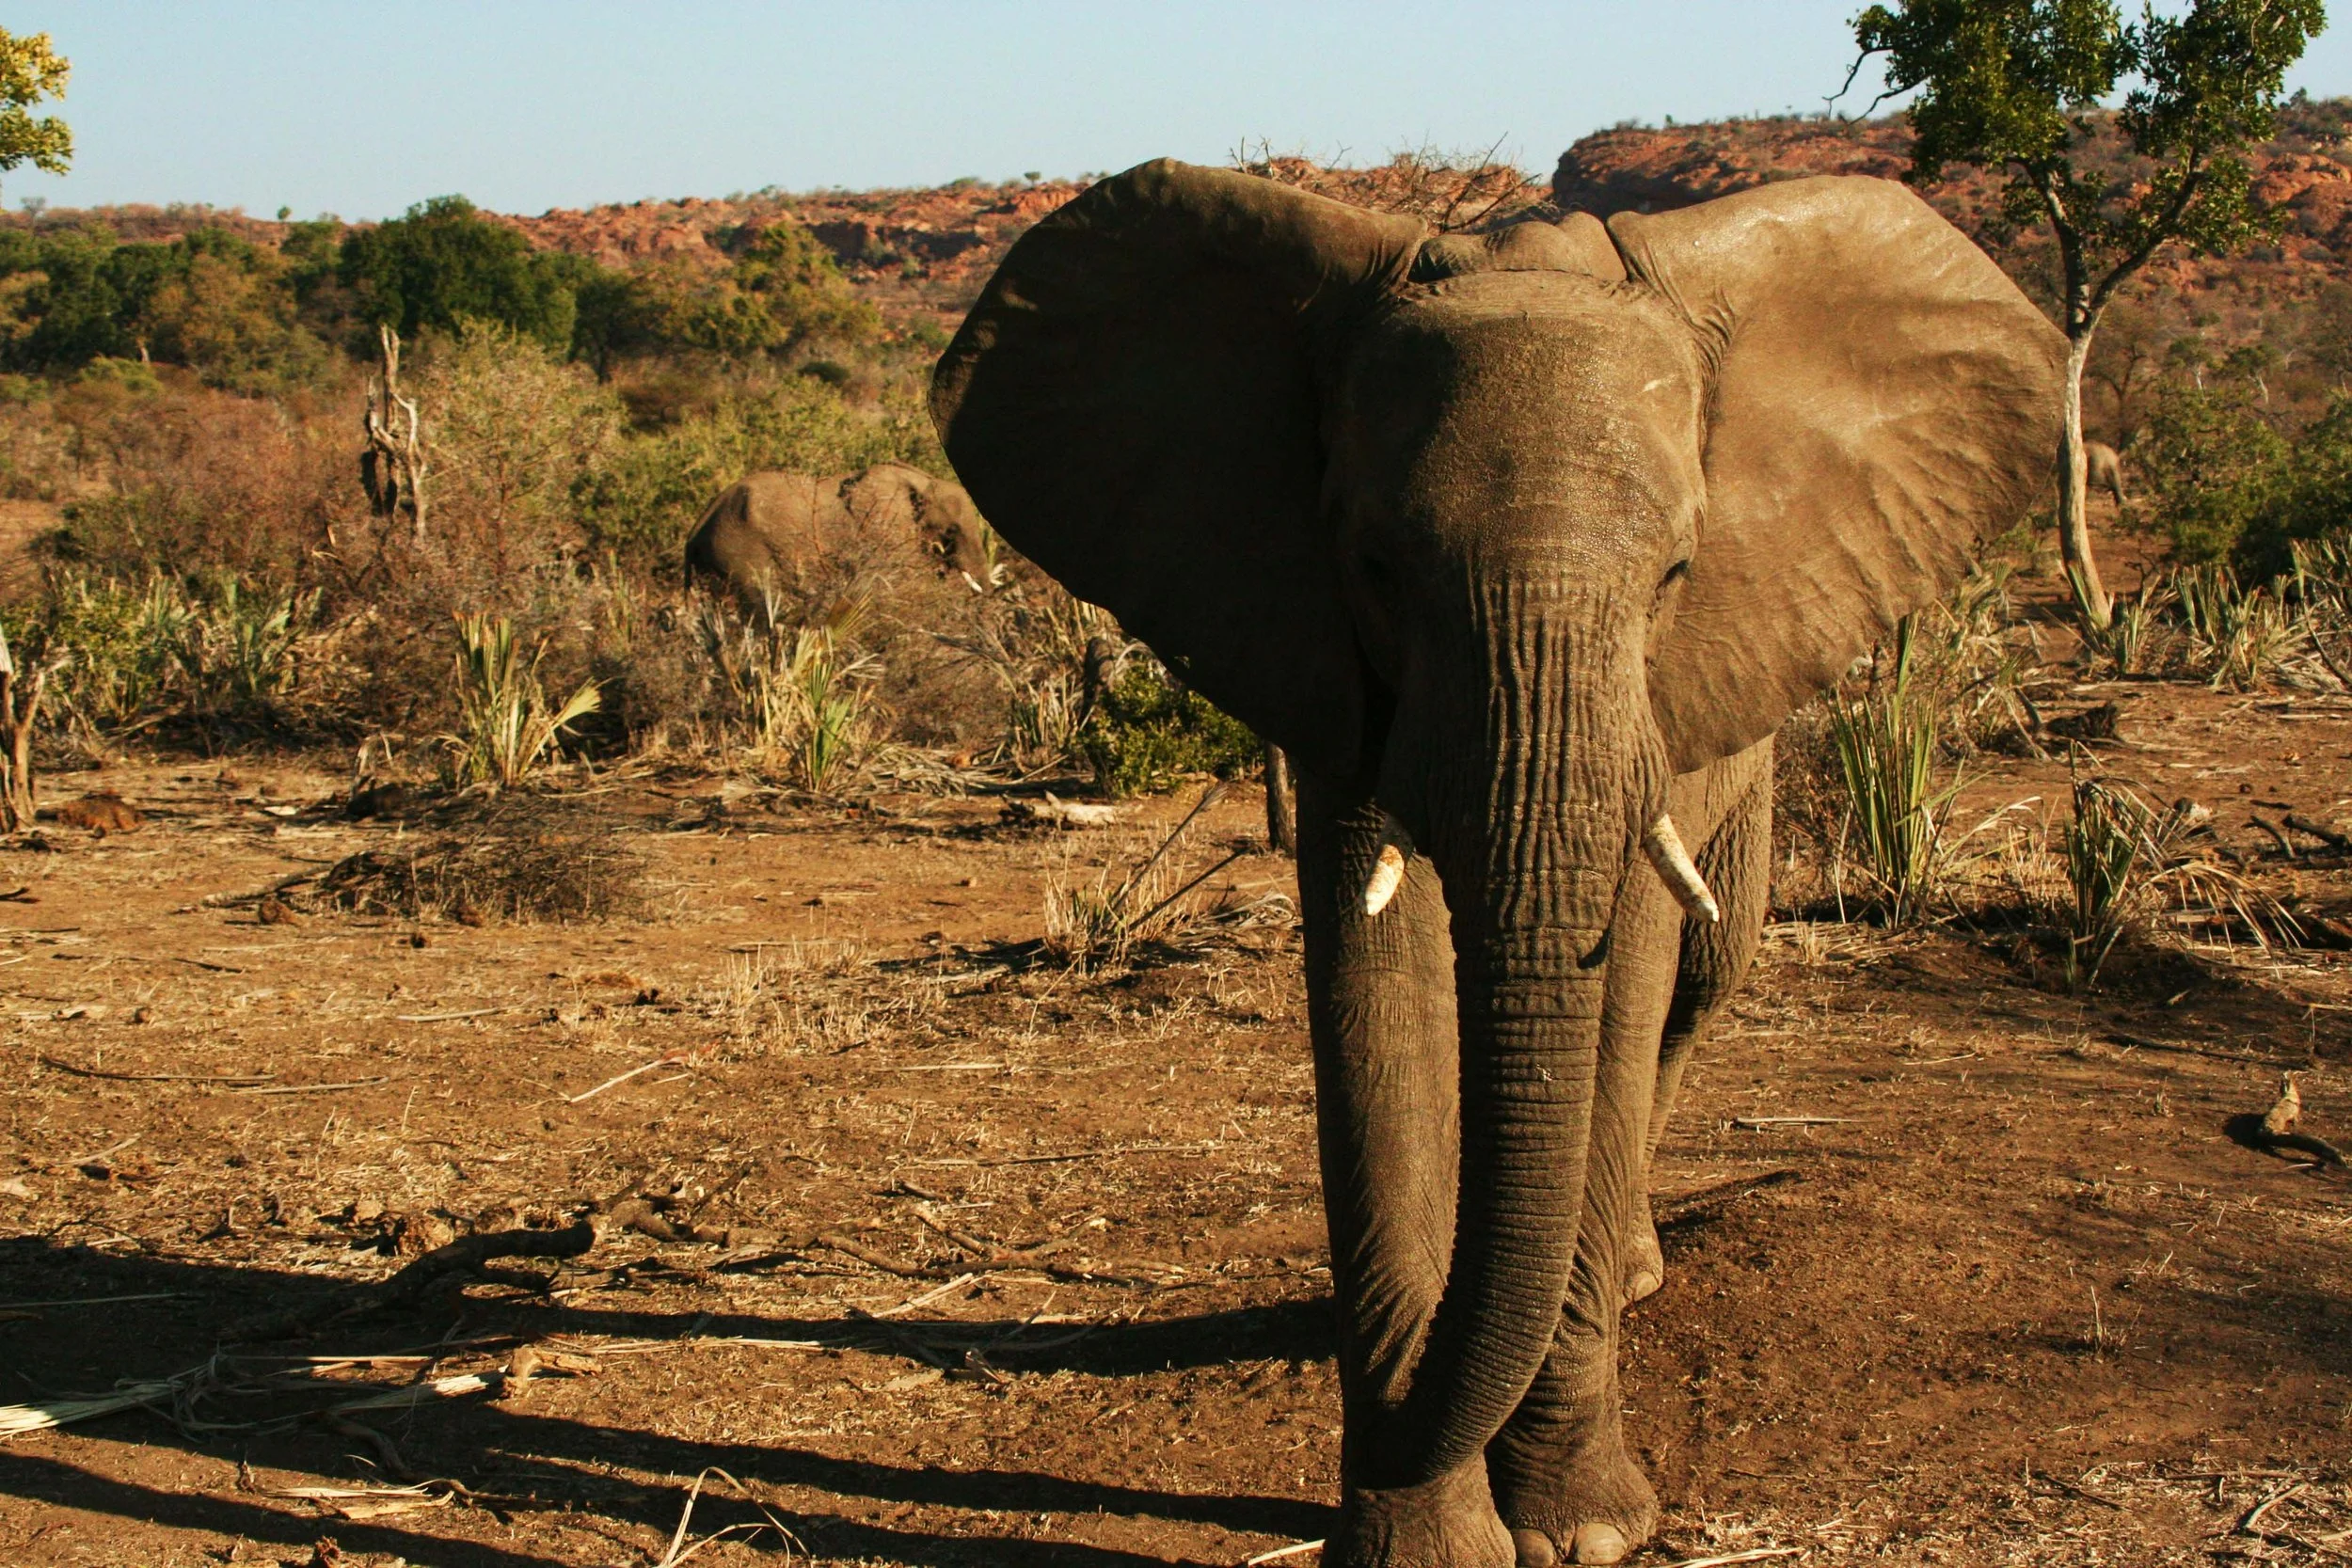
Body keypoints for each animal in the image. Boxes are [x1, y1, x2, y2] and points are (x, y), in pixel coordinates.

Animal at [931, 161, 2063, 1565]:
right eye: (1373, 563)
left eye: (1677, 573)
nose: (1402, 1408)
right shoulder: (1326, 653)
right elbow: (1377, 986)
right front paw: (1421, 1538)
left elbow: (1619, 991)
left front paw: (1587, 1531)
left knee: (1697, 986)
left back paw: (1632, 1266)